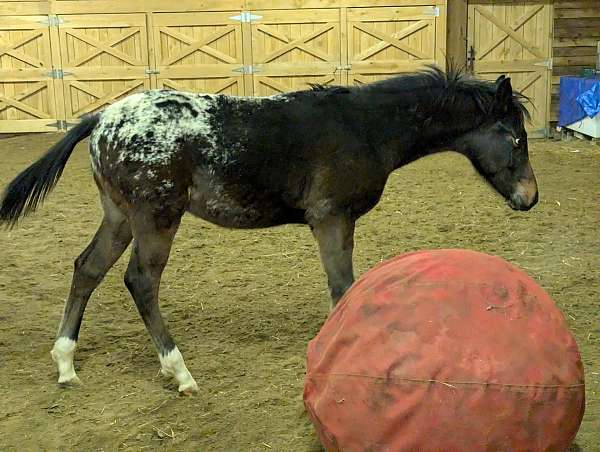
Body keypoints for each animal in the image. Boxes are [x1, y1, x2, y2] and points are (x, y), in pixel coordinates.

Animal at [0, 65, 540, 394]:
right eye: (515, 138)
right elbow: (343, 287)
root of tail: (101, 118)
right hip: (156, 216)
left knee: (87, 268)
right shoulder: (331, 219)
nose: (530, 197)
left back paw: (66, 364)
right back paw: (179, 371)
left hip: (119, 216)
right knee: (141, 281)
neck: (365, 127)